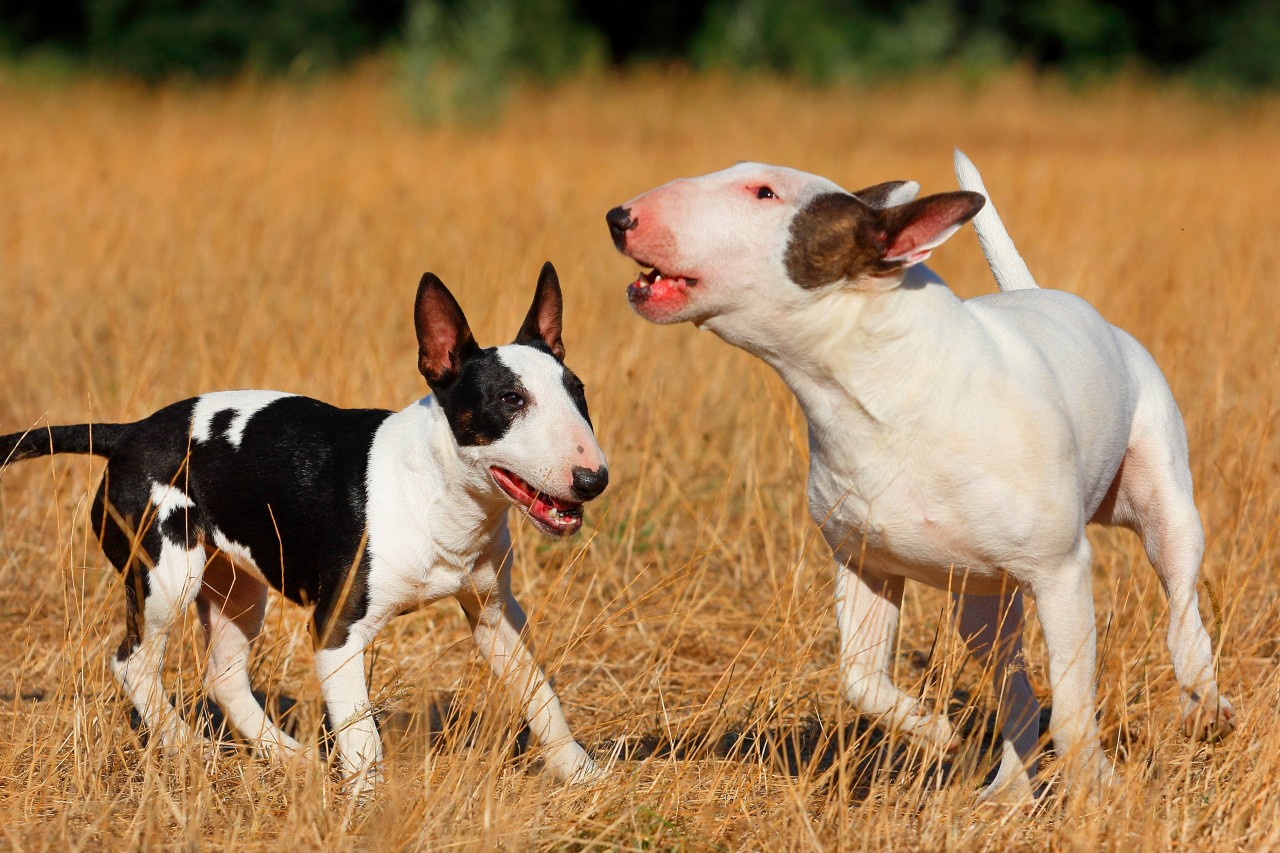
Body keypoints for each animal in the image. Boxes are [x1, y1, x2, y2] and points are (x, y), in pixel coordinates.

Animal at [0, 263, 609, 788]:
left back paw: (288, 757)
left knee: (223, 677)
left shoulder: (494, 613)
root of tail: (128, 434)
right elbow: (361, 733)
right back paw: (188, 748)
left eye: (579, 390)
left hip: (237, 590)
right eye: (510, 398)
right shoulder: (337, 630)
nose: (592, 479)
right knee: (133, 664)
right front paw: (367, 802)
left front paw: (582, 774)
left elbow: (540, 693)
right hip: (165, 577)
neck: (439, 491)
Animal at [604, 151, 1233, 799]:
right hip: (981, 602)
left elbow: (1075, 706)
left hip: (1163, 501)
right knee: (1015, 686)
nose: (620, 217)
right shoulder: (865, 564)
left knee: (1182, 606)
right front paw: (935, 732)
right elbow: (859, 678)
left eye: (764, 193)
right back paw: (1006, 790)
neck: (878, 386)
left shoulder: (1061, 572)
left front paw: (1097, 791)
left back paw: (1204, 707)